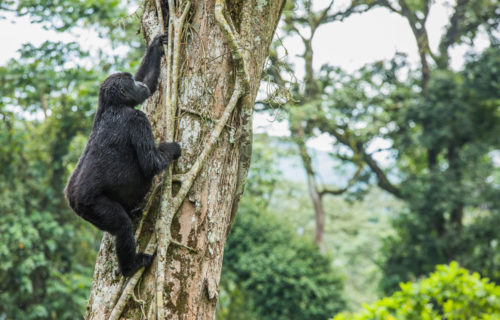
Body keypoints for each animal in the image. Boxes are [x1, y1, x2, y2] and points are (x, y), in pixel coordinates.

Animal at [63, 33, 179, 276]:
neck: (112, 105)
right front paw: (172, 149)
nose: (138, 84)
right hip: (93, 207)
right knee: (122, 227)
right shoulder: (138, 120)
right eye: (131, 83)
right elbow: (150, 163)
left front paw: (156, 45)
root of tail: (71, 199)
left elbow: (151, 83)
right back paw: (130, 266)